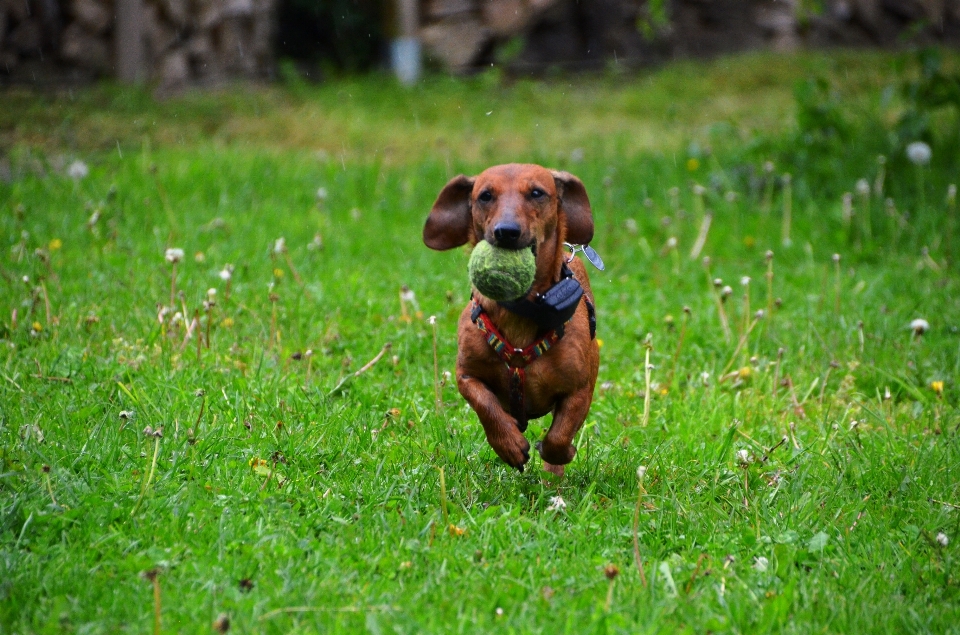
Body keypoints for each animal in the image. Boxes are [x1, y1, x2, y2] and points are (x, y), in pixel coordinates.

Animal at [422, 165, 596, 476]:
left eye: (537, 193)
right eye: (485, 196)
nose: (506, 232)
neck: (521, 312)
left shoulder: (579, 390)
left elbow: (559, 436)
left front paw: (560, 454)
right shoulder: (466, 375)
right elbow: (486, 405)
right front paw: (509, 444)